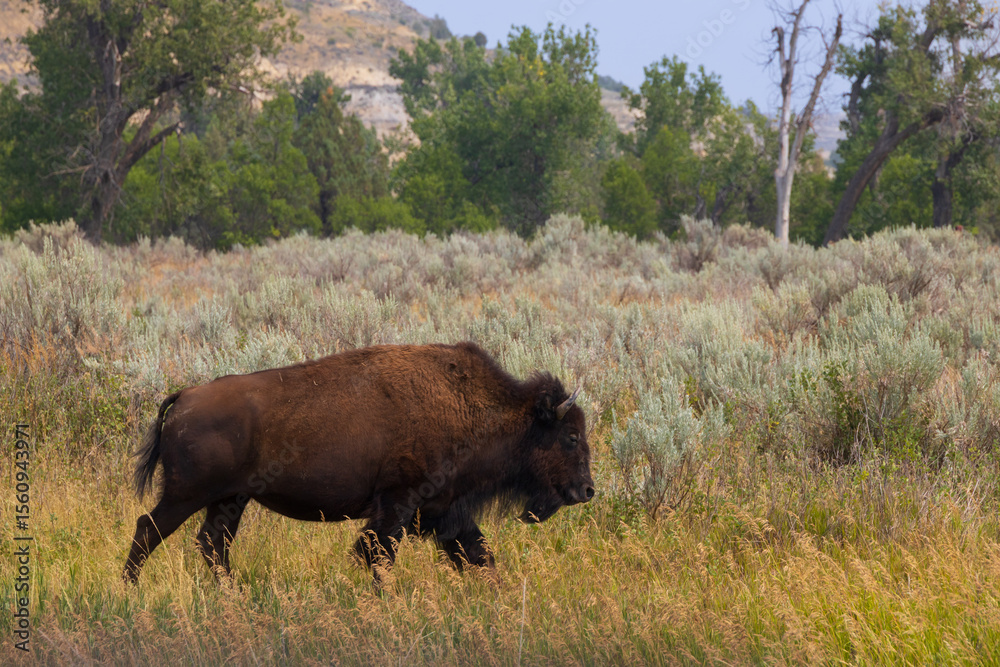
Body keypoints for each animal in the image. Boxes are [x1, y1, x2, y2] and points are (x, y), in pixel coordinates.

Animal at [123, 342, 594, 584]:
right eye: (570, 437)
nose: (587, 490)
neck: (471, 408)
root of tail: (185, 396)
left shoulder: (446, 512)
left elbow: (479, 555)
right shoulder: (398, 505)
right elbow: (379, 555)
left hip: (229, 501)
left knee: (212, 544)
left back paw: (230, 593)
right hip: (186, 495)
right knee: (149, 529)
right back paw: (131, 589)